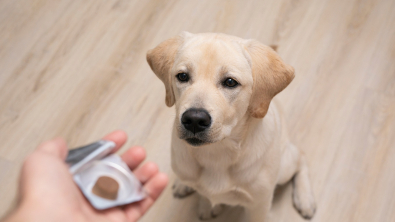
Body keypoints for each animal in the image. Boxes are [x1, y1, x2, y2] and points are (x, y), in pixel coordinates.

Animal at [147, 32, 318, 221]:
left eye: (230, 82)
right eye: (182, 76)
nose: (194, 120)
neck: (216, 153)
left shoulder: (259, 205)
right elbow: (204, 193)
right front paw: (206, 205)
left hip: (284, 166)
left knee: (301, 156)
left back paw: (305, 199)